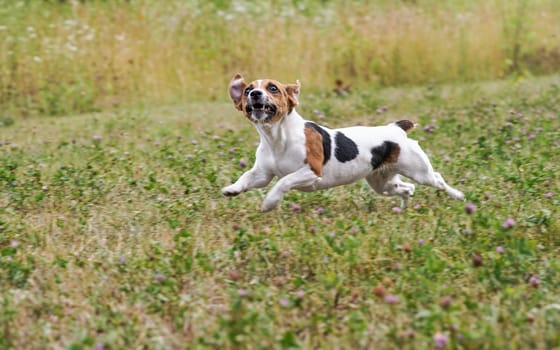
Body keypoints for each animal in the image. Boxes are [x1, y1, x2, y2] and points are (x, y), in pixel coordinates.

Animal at [221, 73, 466, 211]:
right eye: (247, 89)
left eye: (273, 88)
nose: (254, 93)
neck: (276, 136)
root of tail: (396, 128)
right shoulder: (262, 174)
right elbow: (248, 177)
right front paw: (232, 189)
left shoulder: (311, 171)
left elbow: (283, 182)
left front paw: (270, 202)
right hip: (382, 183)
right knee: (406, 188)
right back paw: (404, 205)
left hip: (419, 171)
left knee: (437, 179)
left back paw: (458, 196)